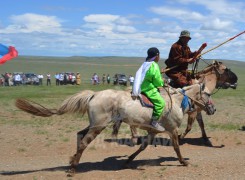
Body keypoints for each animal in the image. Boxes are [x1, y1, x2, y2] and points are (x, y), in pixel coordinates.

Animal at [15, 83, 214, 176]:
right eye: (208, 94)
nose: (213, 109)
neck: (177, 102)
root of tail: (94, 94)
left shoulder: (152, 132)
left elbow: (142, 147)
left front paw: (127, 161)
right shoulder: (172, 130)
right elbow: (176, 147)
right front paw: (183, 162)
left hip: (94, 124)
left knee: (80, 135)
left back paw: (72, 162)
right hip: (99, 126)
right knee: (84, 141)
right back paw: (73, 170)